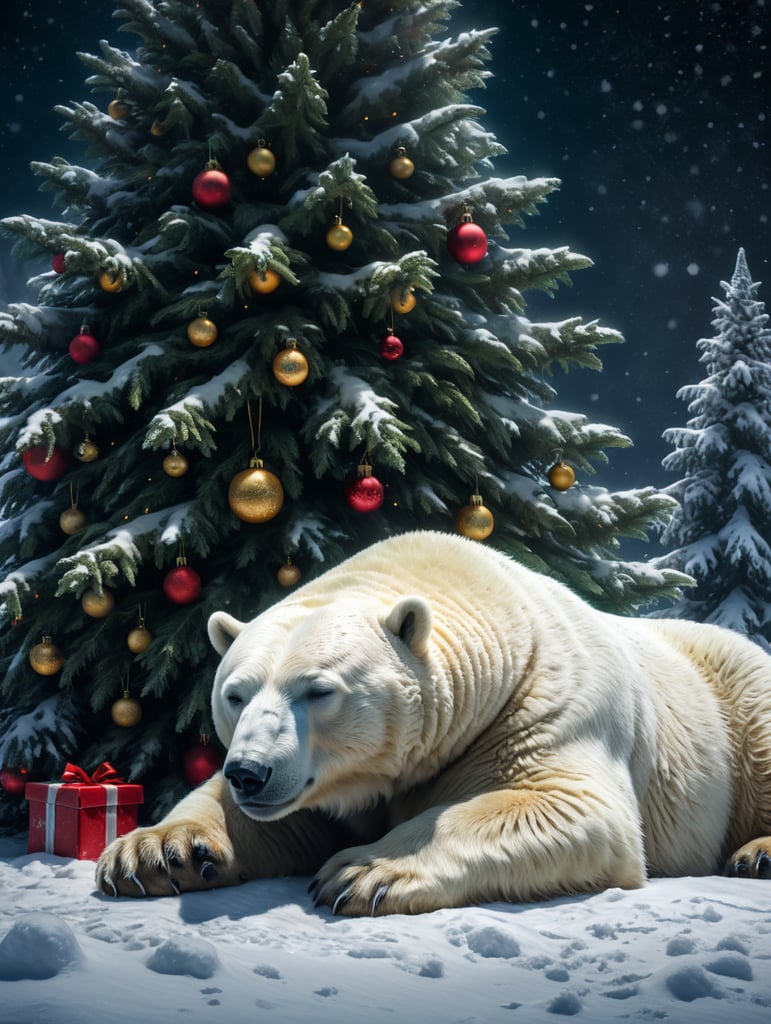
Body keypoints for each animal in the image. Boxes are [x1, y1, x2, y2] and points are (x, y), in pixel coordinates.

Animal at [96, 530, 771, 915]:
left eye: (318, 690)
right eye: (235, 694)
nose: (250, 773)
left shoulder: (546, 706)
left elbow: (570, 806)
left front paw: (362, 872)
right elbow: (267, 818)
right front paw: (155, 852)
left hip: (738, 693)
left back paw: (755, 854)